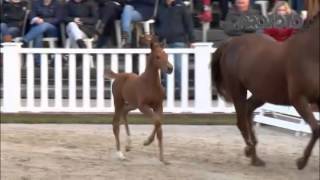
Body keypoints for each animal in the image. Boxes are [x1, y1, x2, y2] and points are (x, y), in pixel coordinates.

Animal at [105, 35, 172, 164]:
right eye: (157, 56)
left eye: (166, 55)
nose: (170, 68)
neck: (150, 84)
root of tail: (118, 75)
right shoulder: (143, 106)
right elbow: (157, 121)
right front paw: (147, 142)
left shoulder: (158, 105)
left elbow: (159, 126)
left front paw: (162, 159)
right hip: (119, 102)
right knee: (115, 124)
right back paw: (120, 154)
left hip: (132, 104)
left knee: (125, 112)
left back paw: (128, 145)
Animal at [211, 5, 318, 169]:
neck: (310, 55)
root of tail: (229, 43)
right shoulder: (299, 99)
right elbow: (316, 129)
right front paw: (301, 162)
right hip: (238, 89)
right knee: (241, 121)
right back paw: (250, 151)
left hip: (261, 93)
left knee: (248, 111)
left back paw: (254, 155)